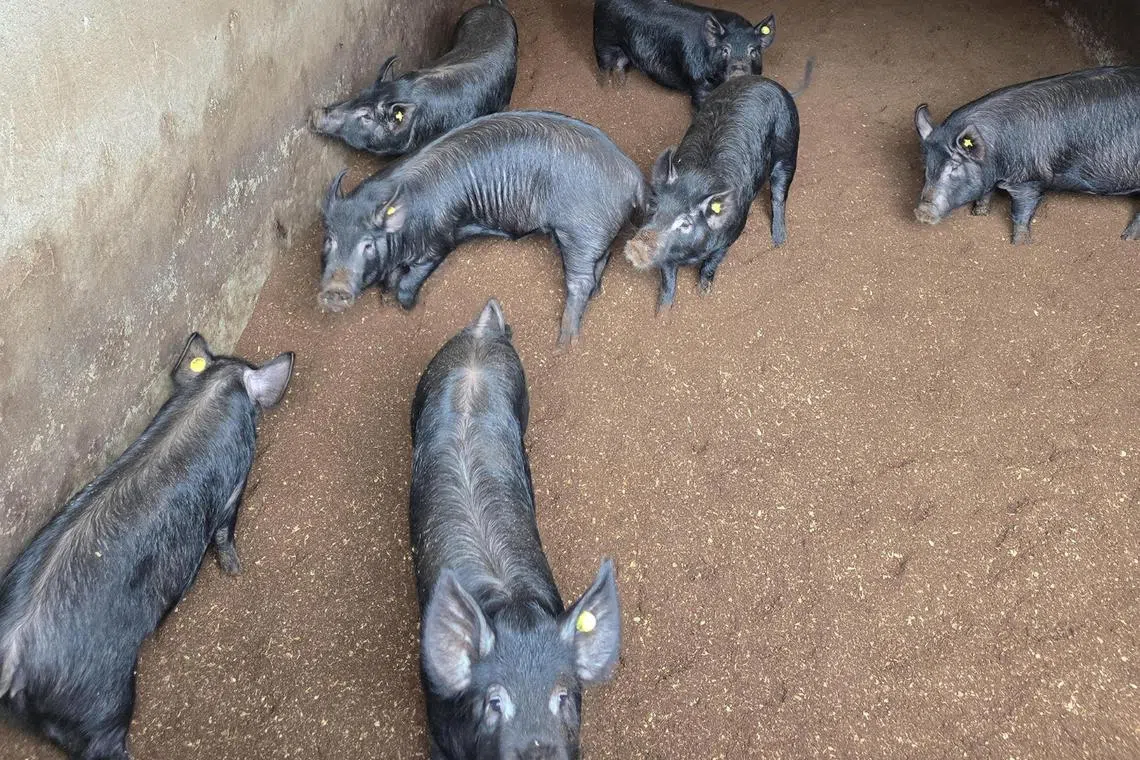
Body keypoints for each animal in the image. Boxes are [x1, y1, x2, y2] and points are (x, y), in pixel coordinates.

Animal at [0, 335, 293, 760]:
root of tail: (10, 655)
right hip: (100, 698)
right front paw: (236, 570)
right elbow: (226, 532)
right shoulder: (234, 485)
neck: (210, 389)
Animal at [319, 111, 649, 346]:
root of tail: (634, 177)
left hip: (581, 230)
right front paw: (385, 298)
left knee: (579, 282)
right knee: (599, 266)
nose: (335, 290)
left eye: (367, 244)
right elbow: (391, 279)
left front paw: (407, 307)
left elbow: (408, 283)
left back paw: (565, 342)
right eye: (329, 240)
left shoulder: (438, 244)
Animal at [593, 0, 774, 107]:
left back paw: (620, 86)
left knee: (620, 65)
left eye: (754, 51)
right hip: (603, 41)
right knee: (604, 67)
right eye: (724, 50)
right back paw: (607, 89)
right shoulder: (698, 81)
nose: (739, 73)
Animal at [625, 73, 801, 310]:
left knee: (779, 194)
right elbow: (668, 279)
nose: (636, 247)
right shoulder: (668, 254)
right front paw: (662, 310)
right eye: (653, 206)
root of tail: (767, 81)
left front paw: (703, 294)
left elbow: (710, 264)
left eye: (686, 223)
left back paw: (779, 241)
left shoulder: (729, 237)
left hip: (788, 148)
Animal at [914, 66, 1140, 244]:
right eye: (927, 166)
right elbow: (985, 193)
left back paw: (1126, 238)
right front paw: (978, 214)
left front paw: (1020, 244)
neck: (996, 152)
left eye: (954, 166)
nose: (922, 212)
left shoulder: (1029, 180)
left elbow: (1021, 212)